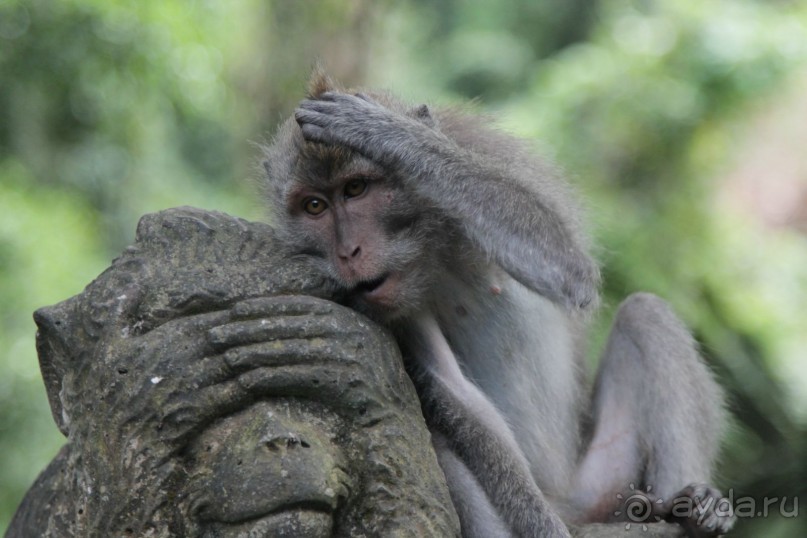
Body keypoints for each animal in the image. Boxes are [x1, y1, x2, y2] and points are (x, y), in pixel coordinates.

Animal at [262, 72, 736, 536]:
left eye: (356, 189)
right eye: (315, 206)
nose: (348, 252)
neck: (429, 243)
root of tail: (570, 504)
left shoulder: (480, 153)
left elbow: (566, 262)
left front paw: (386, 133)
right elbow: (451, 386)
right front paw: (545, 530)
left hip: (604, 483)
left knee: (645, 313)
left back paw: (689, 507)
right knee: (444, 439)